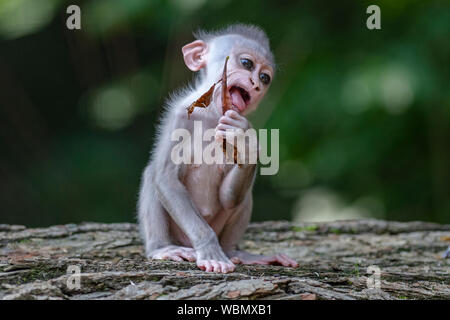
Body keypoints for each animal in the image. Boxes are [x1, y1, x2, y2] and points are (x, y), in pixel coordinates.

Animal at [137, 23, 298, 272]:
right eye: (246, 63)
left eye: (264, 77)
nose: (256, 85)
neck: (213, 114)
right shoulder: (178, 118)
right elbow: (165, 179)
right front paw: (210, 252)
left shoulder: (243, 122)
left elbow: (228, 197)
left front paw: (245, 144)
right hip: (181, 233)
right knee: (152, 173)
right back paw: (163, 248)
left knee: (242, 198)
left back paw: (237, 253)